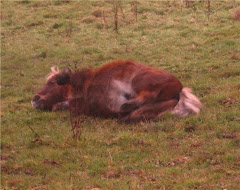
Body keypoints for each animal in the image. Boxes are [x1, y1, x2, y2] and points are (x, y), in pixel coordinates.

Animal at [31, 61, 201, 123]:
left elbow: (70, 77)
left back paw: (125, 105)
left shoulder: (80, 81)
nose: (35, 99)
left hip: (139, 79)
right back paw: (125, 112)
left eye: (51, 83)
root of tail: (179, 89)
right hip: (157, 106)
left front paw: (63, 76)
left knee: (149, 94)